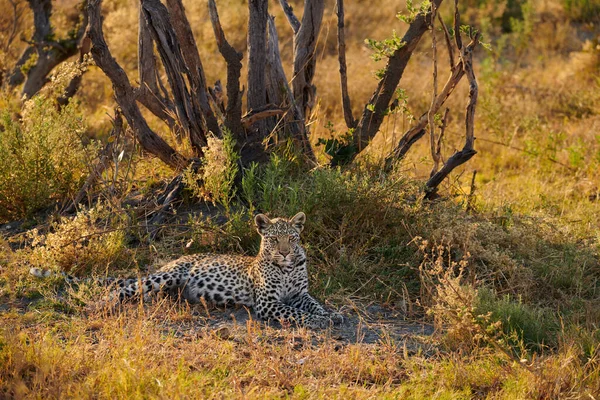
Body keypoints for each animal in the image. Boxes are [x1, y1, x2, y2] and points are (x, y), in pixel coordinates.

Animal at [30, 211, 344, 330]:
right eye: (273, 240)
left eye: (291, 237)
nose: (285, 252)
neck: (288, 268)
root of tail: (175, 259)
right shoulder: (268, 303)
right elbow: (296, 313)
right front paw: (318, 321)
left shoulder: (300, 294)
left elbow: (313, 304)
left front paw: (332, 315)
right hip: (164, 276)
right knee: (124, 288)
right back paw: (98, 306)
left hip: (165, 286)